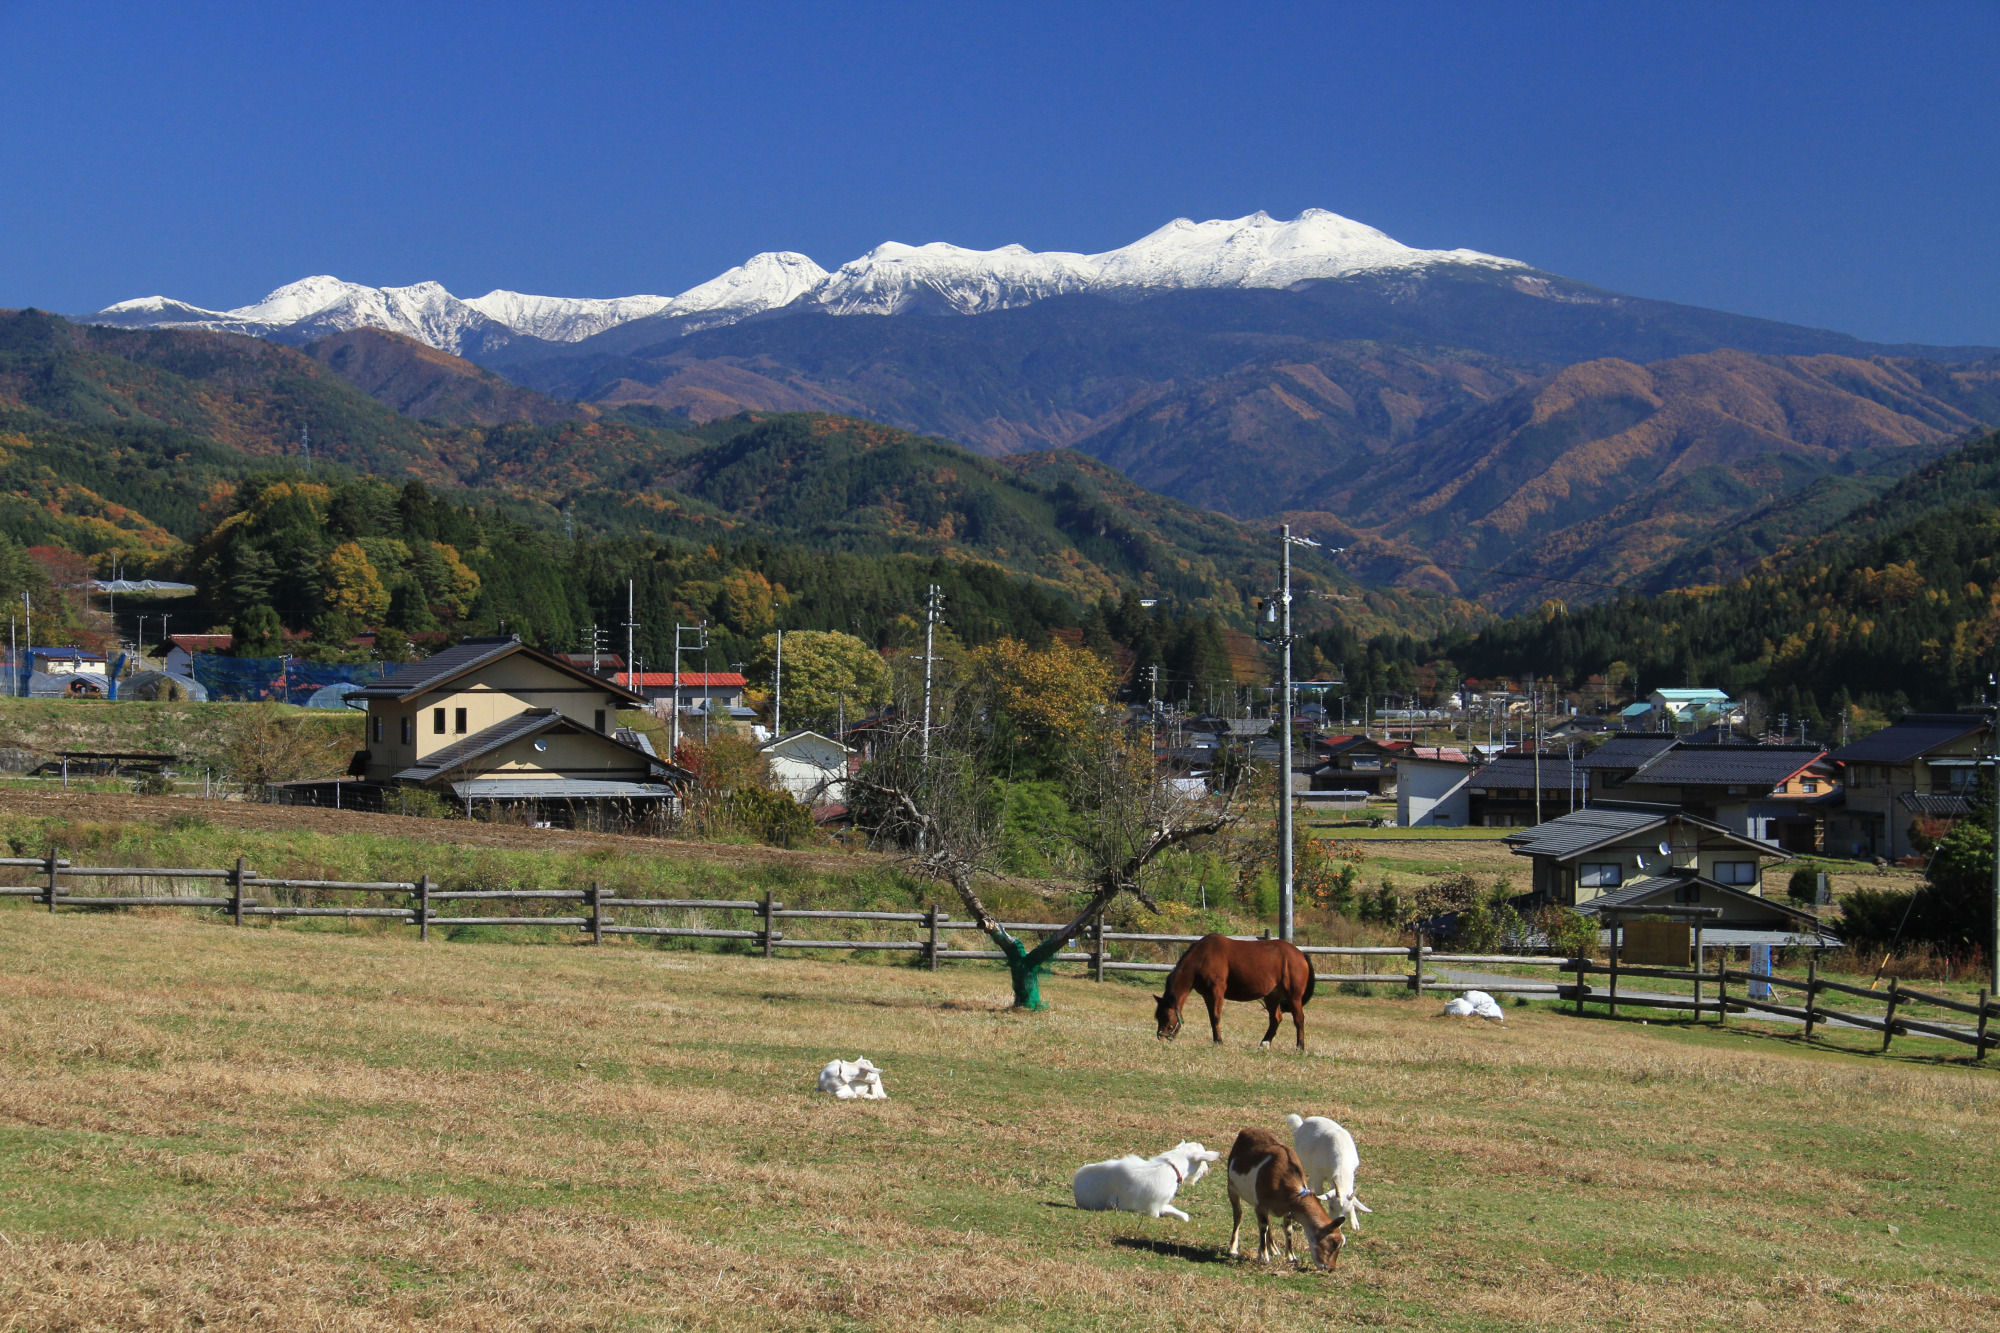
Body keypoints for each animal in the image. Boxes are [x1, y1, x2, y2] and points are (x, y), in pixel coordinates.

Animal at [1152, 932, 1320, 1048]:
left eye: (1167, 1017)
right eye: (1157, 1016)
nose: (1161, 1038)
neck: (1202, 958)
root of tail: (1300, 954)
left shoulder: (1217, 991)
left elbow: (1216, 1016)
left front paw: (1219, 1041)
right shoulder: (1207, 995)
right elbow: (1212, 1018)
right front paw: (1216, 1039)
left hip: (1293, 996)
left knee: (1298, 1019)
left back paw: (1300, 1047)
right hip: (1272, 996)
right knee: (1275, 1019)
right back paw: (1264, 1043)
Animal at [1216, 1120, 1344, 1264]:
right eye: (1333, 1243)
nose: (1329, 1267)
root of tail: (1245, 1131)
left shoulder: (1286, 1209)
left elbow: (1288, 1229)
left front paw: (1291, 1256)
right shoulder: (1261, 1204)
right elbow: (1263, 1226)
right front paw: (1263, 1256)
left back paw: (1274, 1249)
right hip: (1232, 1188)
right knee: (1238, 1214)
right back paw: (1233, 1248)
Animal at [1288, 1104, 1368, 1232]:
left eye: (1347, 1211)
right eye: (1330, 1207)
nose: (1337, 1225)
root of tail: (1303, 1123)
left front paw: (1355, 1224)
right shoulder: (1319, 1174)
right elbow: (1319, 1194)